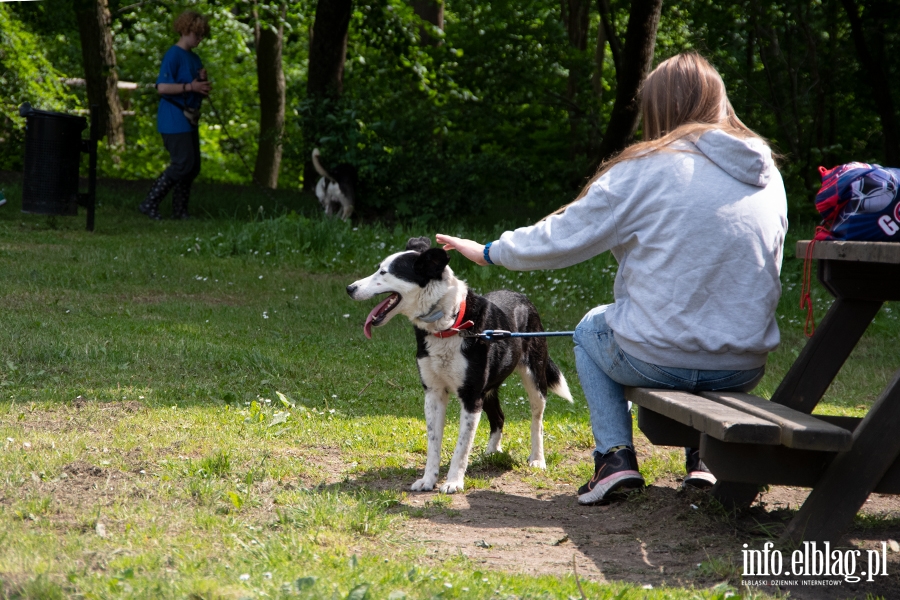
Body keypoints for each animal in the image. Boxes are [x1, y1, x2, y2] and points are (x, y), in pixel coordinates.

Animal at [344, 237, 568, 494]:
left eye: (384, 272)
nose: (350, 288)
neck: (447, 324)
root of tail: (522, 297)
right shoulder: (434, 393)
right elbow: (433, 443)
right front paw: (428, 480)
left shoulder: (471, 397)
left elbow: (462, 447)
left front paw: (453, 481)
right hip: (488, 390)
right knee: (499, 417)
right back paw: (492, 453)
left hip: (533, 379)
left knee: (537, 420)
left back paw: (537, 459)